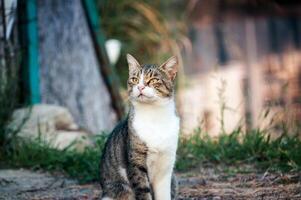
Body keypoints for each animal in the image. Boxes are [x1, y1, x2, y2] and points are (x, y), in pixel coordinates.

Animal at [98, 54, 179, 199]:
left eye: (153, 80)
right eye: (134, 79)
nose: (140, 87)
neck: (155, 117)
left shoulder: (166, 167)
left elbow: (164, 195)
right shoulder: (135, 164)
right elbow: (143, 192)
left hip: (174, 180)